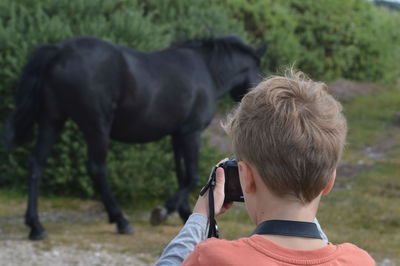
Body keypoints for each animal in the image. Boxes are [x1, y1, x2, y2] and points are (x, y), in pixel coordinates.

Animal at [5, 34, 266, 240]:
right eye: (258, 70)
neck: (207, 70)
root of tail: (59, 51)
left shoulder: (176, 134)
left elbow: (181, 173)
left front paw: (183, 212)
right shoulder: (190, 132)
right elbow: (191, 175)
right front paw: (164, 211)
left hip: (52, 121)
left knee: (36, 164)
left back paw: (36, 226)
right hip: (96, 126)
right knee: (97, 169)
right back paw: (121, 220)